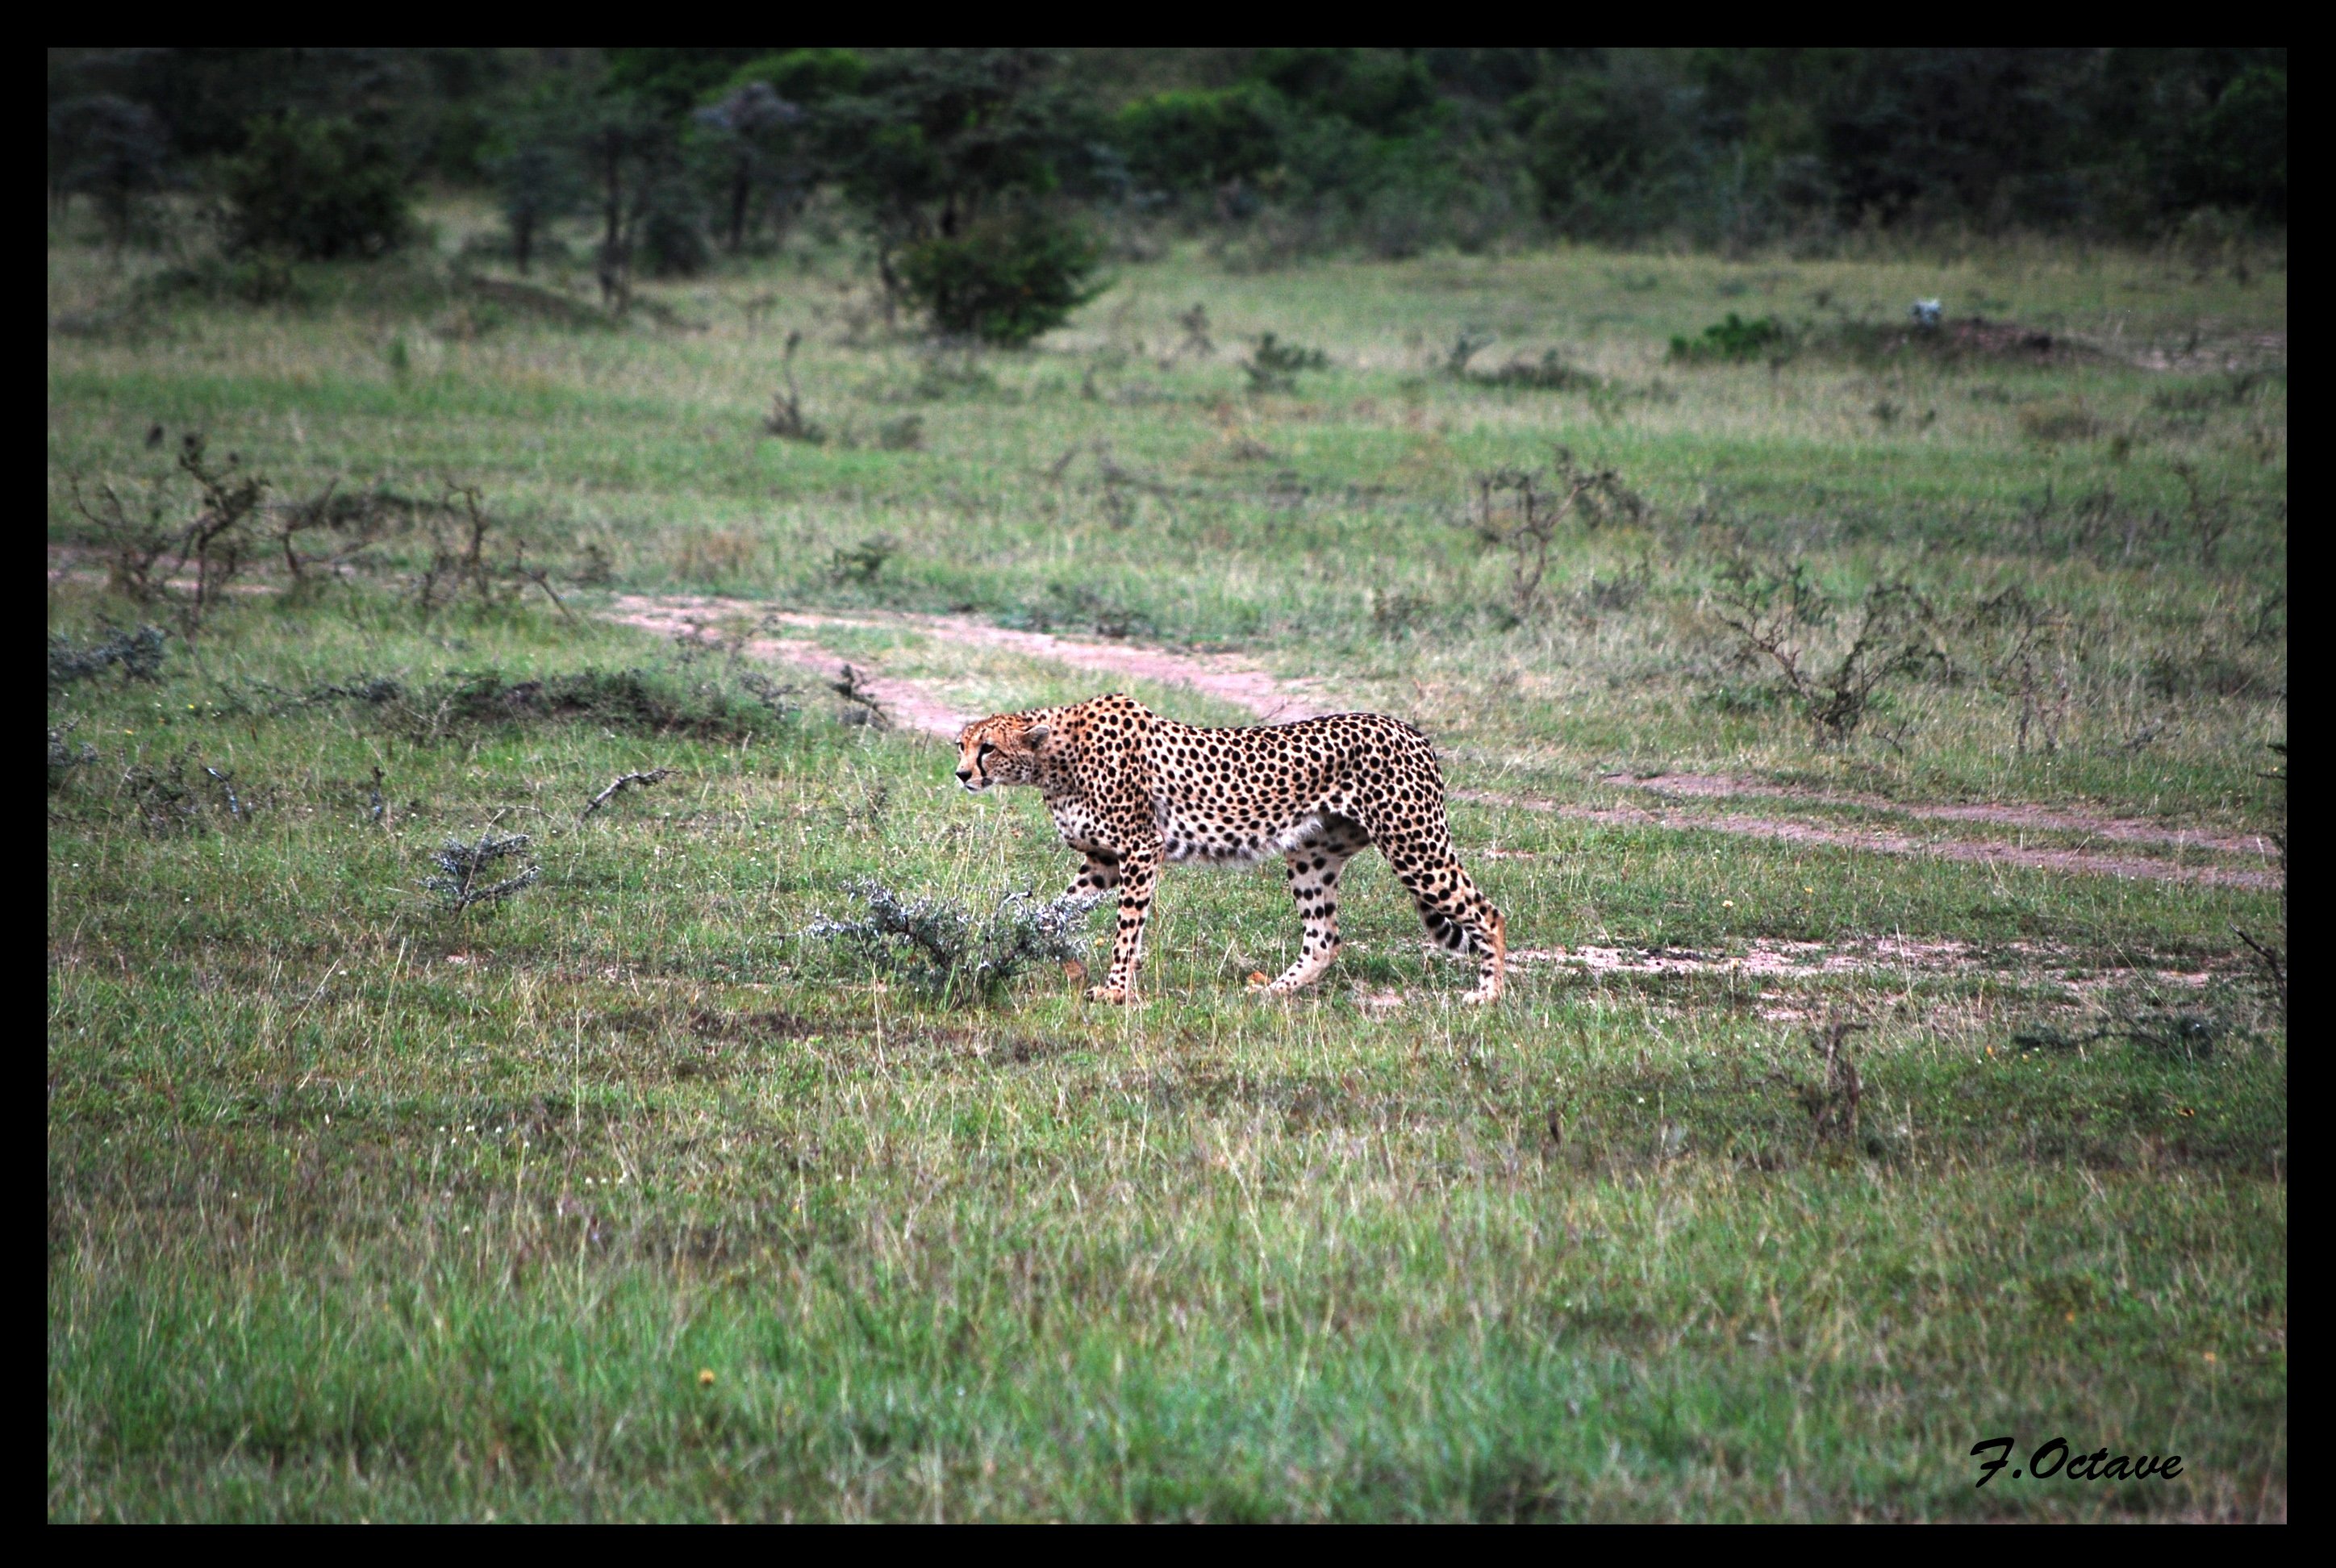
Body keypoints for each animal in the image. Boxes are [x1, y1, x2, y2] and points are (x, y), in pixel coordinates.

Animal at [957, 691, 1504, 1004]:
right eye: (960, 746)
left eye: (988, 748)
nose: (961, 774)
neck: (1053, 757)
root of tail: (1409, 728)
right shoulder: (1104, 860)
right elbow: (1055, 912)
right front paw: (1013, 948)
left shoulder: (1141, 849)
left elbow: (1125, 929)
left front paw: (1114, 991)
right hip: (1312, 854)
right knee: (1324, 938)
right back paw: (1274, 991)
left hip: (1415, 846)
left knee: (1489, 913)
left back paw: (1489, 995)